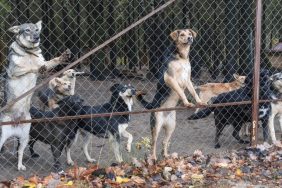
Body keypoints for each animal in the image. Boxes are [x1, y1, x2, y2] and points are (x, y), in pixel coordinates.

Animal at [0, 20, 70, 170]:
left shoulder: (45, 62)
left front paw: (63, 56)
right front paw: (38, 69)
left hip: (25, 137)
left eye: (37, 30)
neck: (30, 52)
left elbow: (52, 61)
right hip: (2, 137)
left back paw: (20, 166)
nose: (37, 37)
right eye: (27, 30)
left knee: (20, 152)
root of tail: (15, 124)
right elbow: (31, 67)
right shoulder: (15, 69)